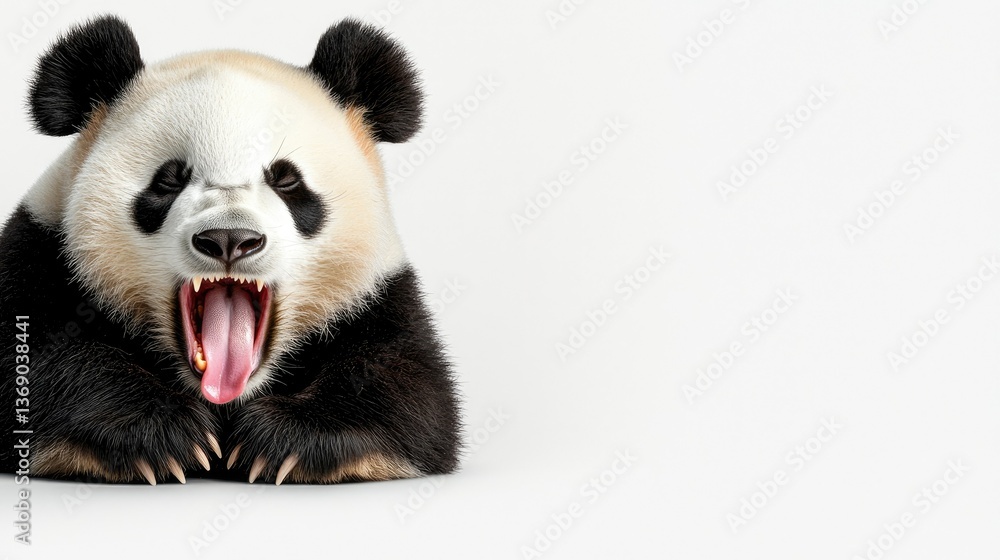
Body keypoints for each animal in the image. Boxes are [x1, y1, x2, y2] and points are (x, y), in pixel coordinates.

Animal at [0, 15, 460, 485]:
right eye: (169, 179)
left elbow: (413, 395)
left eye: (286, 179)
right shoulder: (40, 256)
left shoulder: (379, 294)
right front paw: (165, 432)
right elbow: (39, 361)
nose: (228, 238)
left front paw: (281, 441)